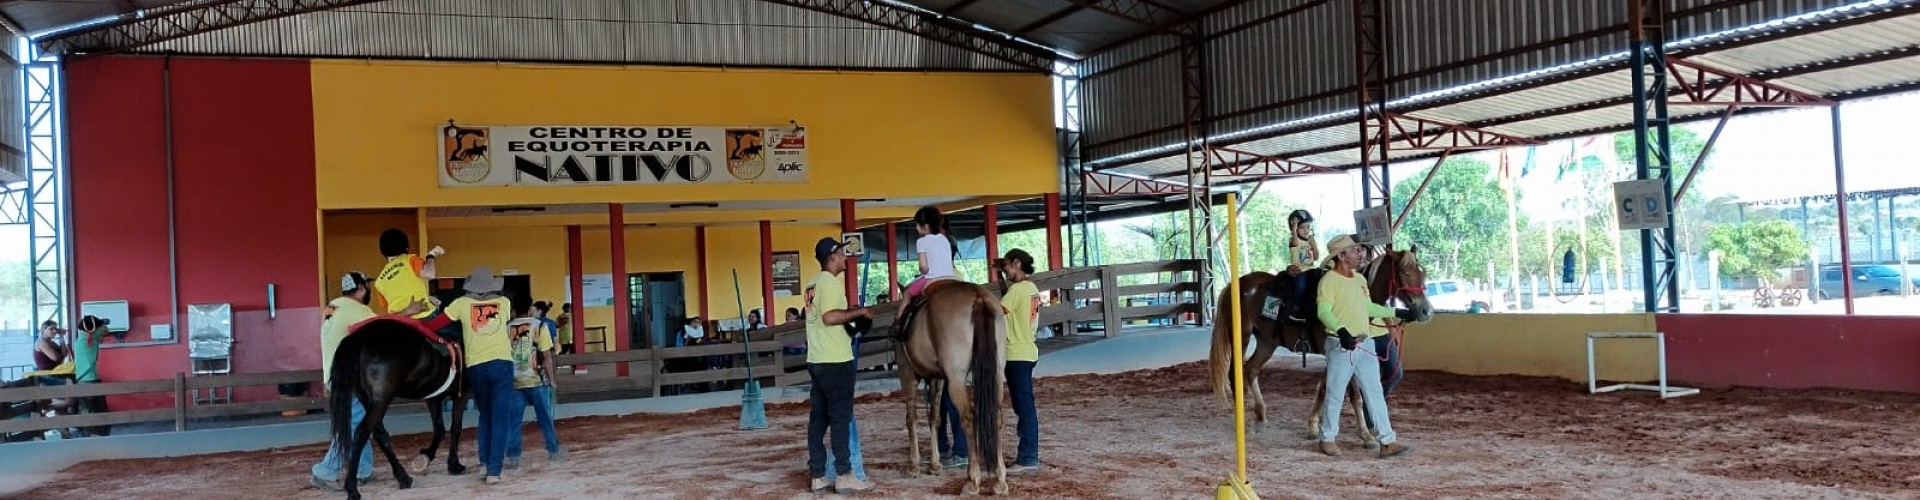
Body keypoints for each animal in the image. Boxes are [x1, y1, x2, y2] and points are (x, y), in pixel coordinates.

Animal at [326, 319, 468, 496]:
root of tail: (359, 338)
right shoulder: (461, 394)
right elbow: (455, 428)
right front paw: (454, 464)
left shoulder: (434, 399)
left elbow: (439, 429)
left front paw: (427, 456)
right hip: (381, 399)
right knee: (362, 433)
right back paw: (352, 488)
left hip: (367, 398)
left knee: (380, 434)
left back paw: (403, 477)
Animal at [898, 280, 1013, 496]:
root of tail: (977, 296)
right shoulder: (937, 379)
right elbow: (935, 418)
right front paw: (934, 464)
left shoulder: (906, 375)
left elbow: (912, 419)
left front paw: (914, 465)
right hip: (995, 372)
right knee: (996, 417)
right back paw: (1000, 479)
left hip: (956, 378)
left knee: (968, 418)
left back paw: (972, 480)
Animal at [1205, 244, 1436, 444]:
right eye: (1405, 272)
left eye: (1421, 272)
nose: (1426, 311)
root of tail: (1235, 285)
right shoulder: (1344, 351)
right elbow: (1353, 394)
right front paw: (1365, 434)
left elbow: (1325, 388)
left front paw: (1313, 426)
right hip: (1242, 337)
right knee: (1235, 374)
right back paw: (1242, 423)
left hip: (1266, 341)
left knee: (1250, 370)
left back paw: (1260, 417)